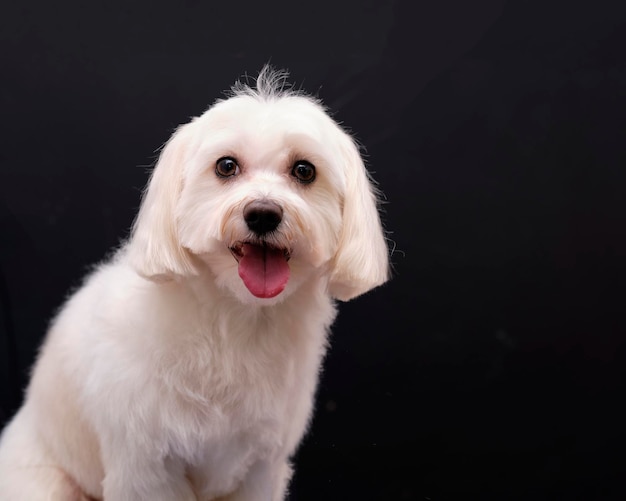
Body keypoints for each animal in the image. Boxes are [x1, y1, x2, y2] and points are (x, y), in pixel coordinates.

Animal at [0, 67, 386, 500]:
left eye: (305, 170)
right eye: (226, 166)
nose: (263, 213)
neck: (234, 324)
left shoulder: (260, 466)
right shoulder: (147, 467)